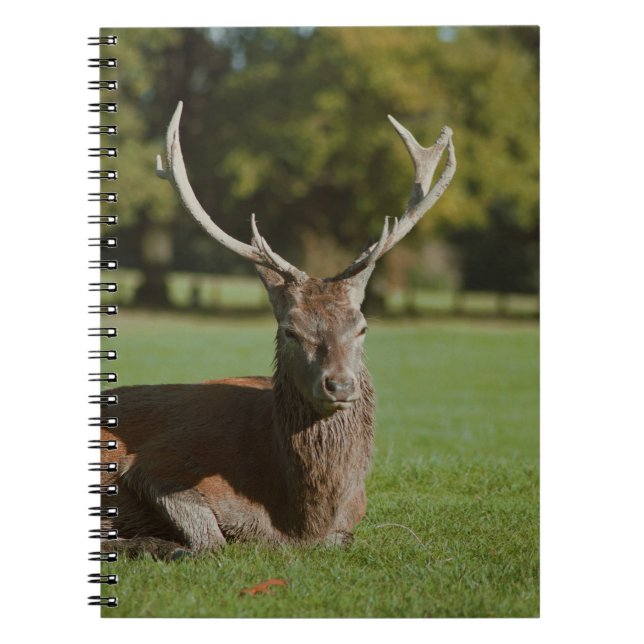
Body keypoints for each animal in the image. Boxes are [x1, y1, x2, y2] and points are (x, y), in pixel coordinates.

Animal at [100, 101, 456, 560]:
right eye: (289, 330)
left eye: (361, 327)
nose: (340, 385)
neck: (299, 517)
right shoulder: (158, 463)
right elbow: (211, 541)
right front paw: (159, 544)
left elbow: (342, 538)